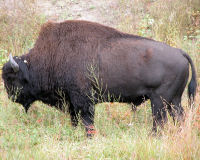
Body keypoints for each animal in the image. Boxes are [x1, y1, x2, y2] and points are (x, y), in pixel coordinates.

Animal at [1, 20, 197, 137]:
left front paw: (89, 136)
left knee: (160, 120)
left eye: (11, 78)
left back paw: (153, 136)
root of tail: (180, 52)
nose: (11, 97)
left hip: (159, 100)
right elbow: (75, 119)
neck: (52, 56)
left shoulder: (83, 100)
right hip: (174, 100)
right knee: (178, 116)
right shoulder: (73, 102)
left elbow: (87, 120)